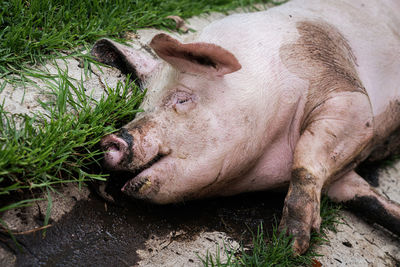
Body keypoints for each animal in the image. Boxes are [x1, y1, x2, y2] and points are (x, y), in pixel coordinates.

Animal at [92, 0, 400, 255]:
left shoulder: (348, 97)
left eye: (182, 98)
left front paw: (291, 244)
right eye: (142, 105)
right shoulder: (341, 180)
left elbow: (305, 161)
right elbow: (367, 198)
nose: (111, 140)